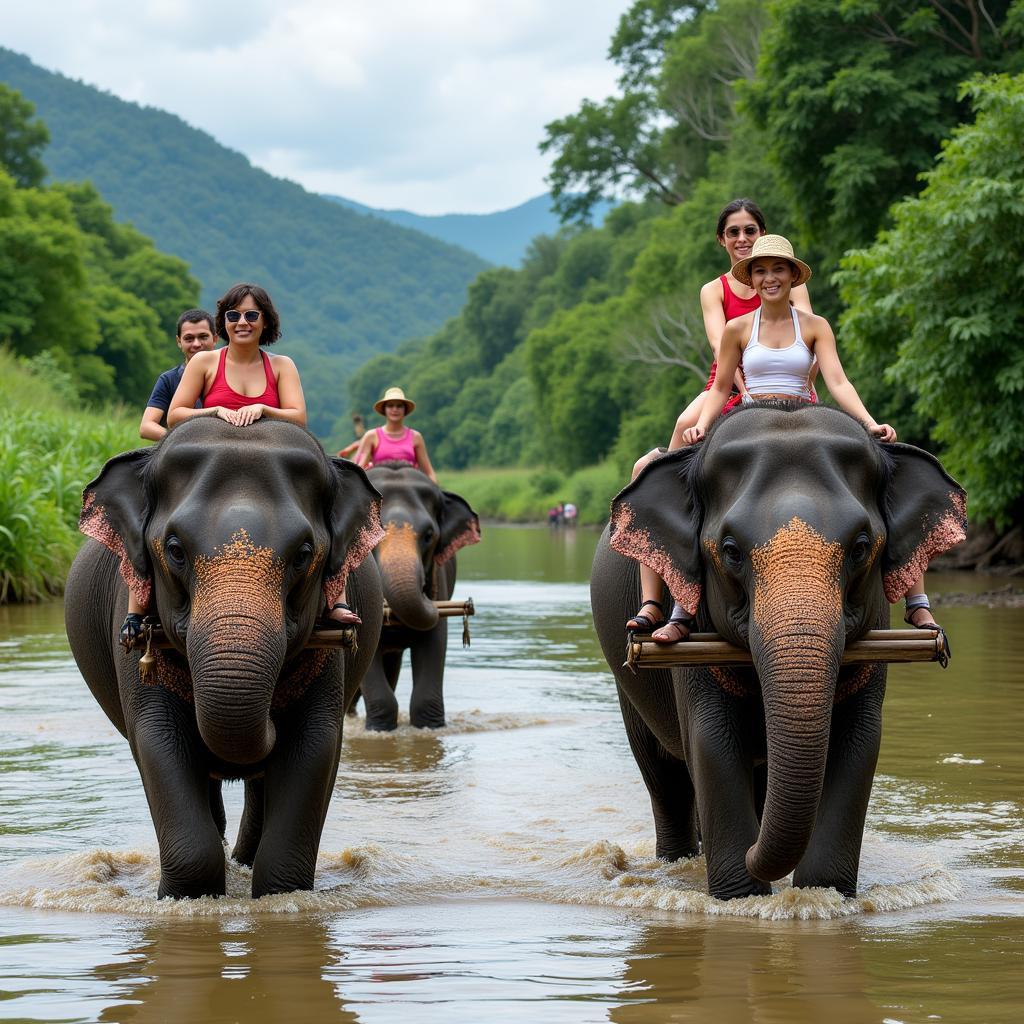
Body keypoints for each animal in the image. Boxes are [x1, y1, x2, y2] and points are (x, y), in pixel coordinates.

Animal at [64, 415, 385, 897]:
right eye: (175, 550)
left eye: (303, 554)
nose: (271, 718)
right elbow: (157, 741)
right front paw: (186, 897)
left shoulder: (329, 653)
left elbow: (315, 744)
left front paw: (279, 894)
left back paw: (243, 859)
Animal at [593, 399, 966, 897]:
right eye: (730, 551)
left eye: (861, 547)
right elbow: (711, 744)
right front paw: (742, 895)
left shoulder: (874, 639)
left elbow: (860, 743)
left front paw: (820, 896)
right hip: (628, 679)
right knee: (664, 776)